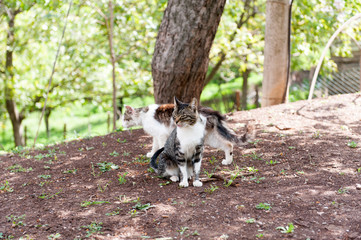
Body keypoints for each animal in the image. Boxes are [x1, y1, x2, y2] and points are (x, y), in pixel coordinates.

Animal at [122, 98, 255, 164]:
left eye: (124, 118)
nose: (122, 125)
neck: (143, 115)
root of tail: (209, 110)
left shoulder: (161, 134)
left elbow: (160, 146)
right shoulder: (156, 136)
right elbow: (154, 146)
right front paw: (151, 154)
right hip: (211, 138)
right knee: (228, 145)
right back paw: (228, 161)